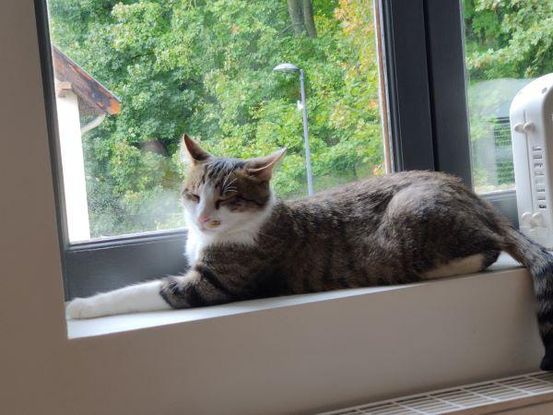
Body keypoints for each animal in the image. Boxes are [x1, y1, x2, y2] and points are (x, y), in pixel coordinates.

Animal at [67, 134, 553, 370]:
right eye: (193, 195)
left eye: (227, 199)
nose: (203, 217)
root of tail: (475, 198)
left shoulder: (213, 284)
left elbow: (141, 290)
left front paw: (77, 306)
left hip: (412, 218)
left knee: (489, 248)